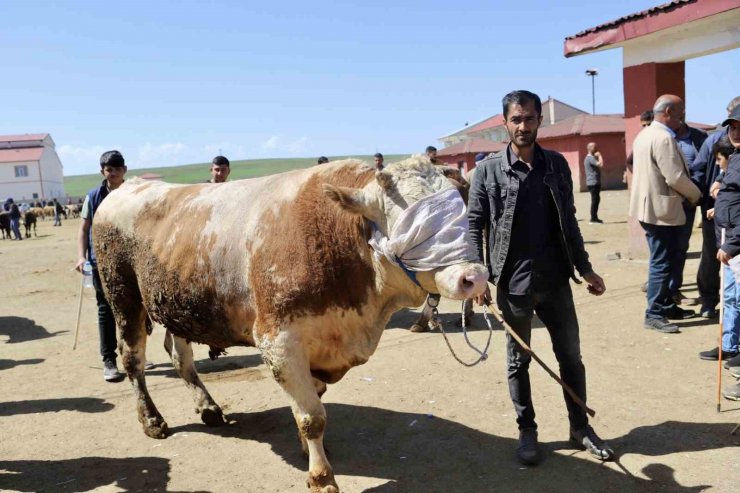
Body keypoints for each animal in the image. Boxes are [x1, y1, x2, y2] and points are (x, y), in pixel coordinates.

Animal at [92, 158, 488, 492]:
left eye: (461, 209)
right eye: (412, 223)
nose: (474, 277)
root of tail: (127, 187)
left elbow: (314, 401)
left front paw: (306, 449)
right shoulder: (279, 341)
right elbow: (312, 416)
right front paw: (321, 477)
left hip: (178, 305)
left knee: (180, 357)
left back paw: (208, 408)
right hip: (123, 296)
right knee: (133, 360)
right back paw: (152, 420)